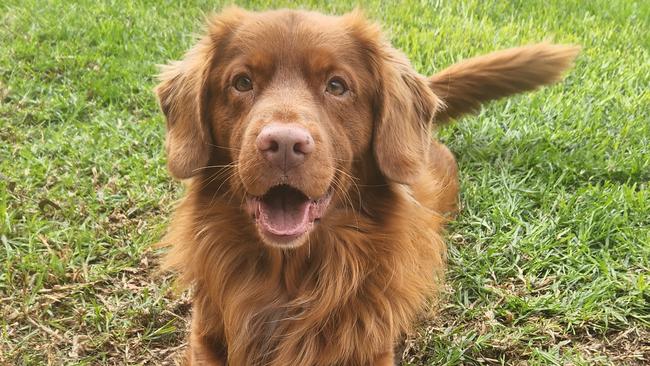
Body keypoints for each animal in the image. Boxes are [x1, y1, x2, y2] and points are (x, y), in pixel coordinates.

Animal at [156, 6, 576, 366]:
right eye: (242, 82)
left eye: (336, 85)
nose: (284, 144)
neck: (288, 277)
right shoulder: (205, 336)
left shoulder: (373, 346)